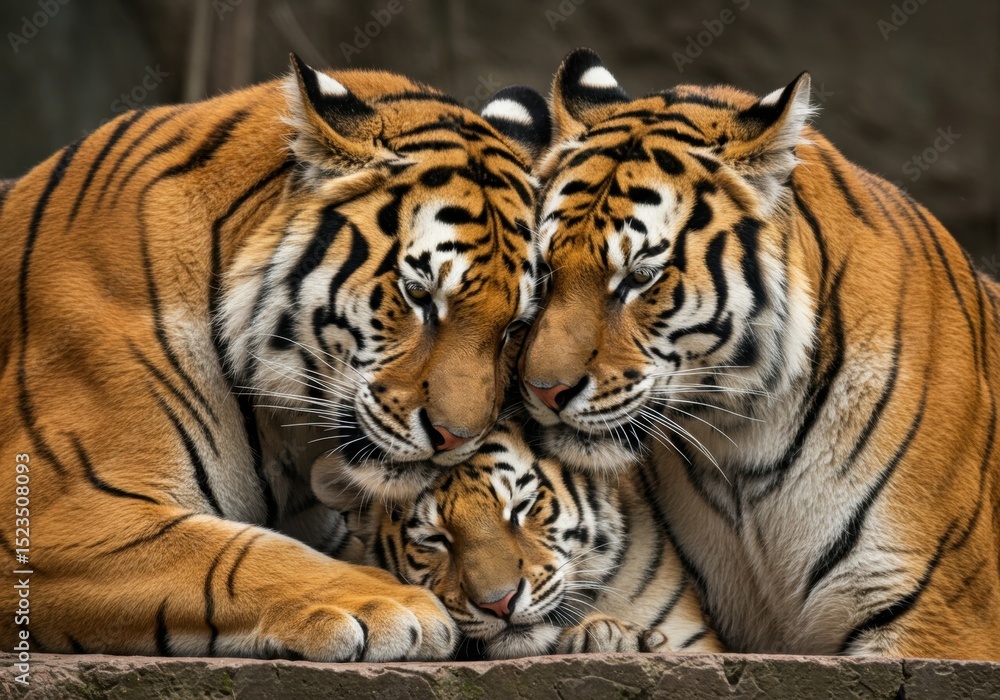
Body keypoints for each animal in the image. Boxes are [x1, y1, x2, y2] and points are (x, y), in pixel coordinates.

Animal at [0, 55, 552, 661]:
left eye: (515, 326)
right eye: (419, 295)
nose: (457, 439)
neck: (283, 430)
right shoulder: (59, 511)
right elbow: (235, 554)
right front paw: (393, 602)